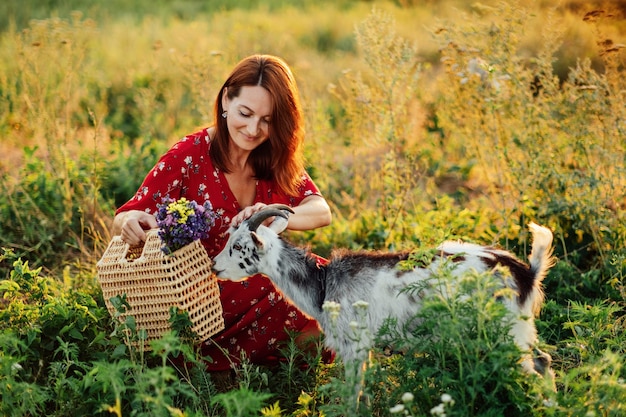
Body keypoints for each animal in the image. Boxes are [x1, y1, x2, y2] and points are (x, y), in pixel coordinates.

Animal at [212, 203, 552, 378]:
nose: (215, 265)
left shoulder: (354, 346)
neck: (322, 285)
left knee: (537, 365)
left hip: (508, 332)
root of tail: (526, 273)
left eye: (238, 246)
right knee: (544, 361)